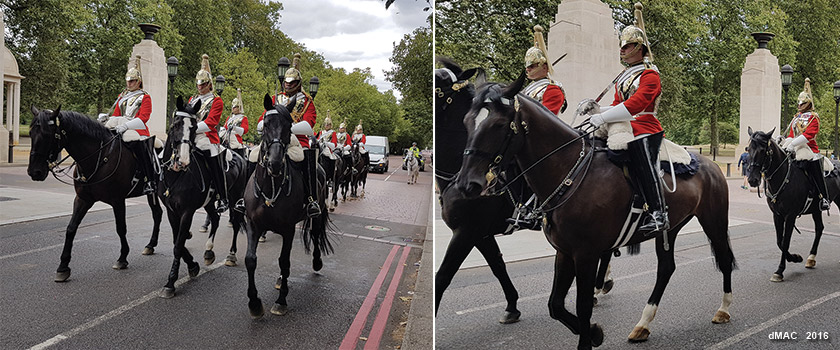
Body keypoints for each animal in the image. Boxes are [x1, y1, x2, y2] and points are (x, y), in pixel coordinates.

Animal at [27, 106, 162, 282]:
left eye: (48, 135)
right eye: (30, 133)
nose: (34, 172)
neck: (99, 156)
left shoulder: (118, 200)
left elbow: (121, 228)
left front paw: (122, 258)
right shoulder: (83, 199)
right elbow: (71, 228)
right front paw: (63, 267)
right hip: (154, 194)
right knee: (157, 213)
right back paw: (150, 245)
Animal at [158, 96, 248, 298]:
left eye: (193, 128)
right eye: (175, 124)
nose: (182, 161)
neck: (176, 176)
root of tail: (241, 157)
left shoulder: (187, 211)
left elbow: (178, 244)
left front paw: (171, 282)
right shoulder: (171, 210)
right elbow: (177, 240)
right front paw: (192, 265)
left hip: (235, 199)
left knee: (236, 222)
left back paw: (231, 255)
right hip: (209, 201)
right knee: (215, 218)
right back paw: (208, 252)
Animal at [243, 93, 332, 318]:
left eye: (289, 125)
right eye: (266, 124)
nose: (274, 163)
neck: (271, 184)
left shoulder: (288, 229)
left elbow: (284, 261)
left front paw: (281, 301)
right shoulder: (253, 225)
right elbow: (250, 259)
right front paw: (254, 303)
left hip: (317, 214)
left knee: (316, 235)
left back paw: (316, 262)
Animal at [452, 75, 736, 348]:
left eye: (499, 125)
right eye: (466, 121)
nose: (467, 184)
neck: (570, 172)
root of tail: (711, 165)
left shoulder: (586, 254)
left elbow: (583, 305)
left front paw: (589, 335)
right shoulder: (565, 251)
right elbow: (555, 305)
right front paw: (595, 333)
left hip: (714, 220)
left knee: (723, 259)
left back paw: (723, 310)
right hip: (670, 228)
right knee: (666, 268)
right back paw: (643, 324)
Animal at [744, 127, 836, 280]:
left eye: (763, 150)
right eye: (748, 149)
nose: (752, 180)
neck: (783, 177)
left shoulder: (790, 216)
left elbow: (785, 241)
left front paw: (780, 270)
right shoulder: (777, 215)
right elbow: (779, 241)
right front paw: (795, 258)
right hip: (816, 209)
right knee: (819, 228)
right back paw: (811, 258)